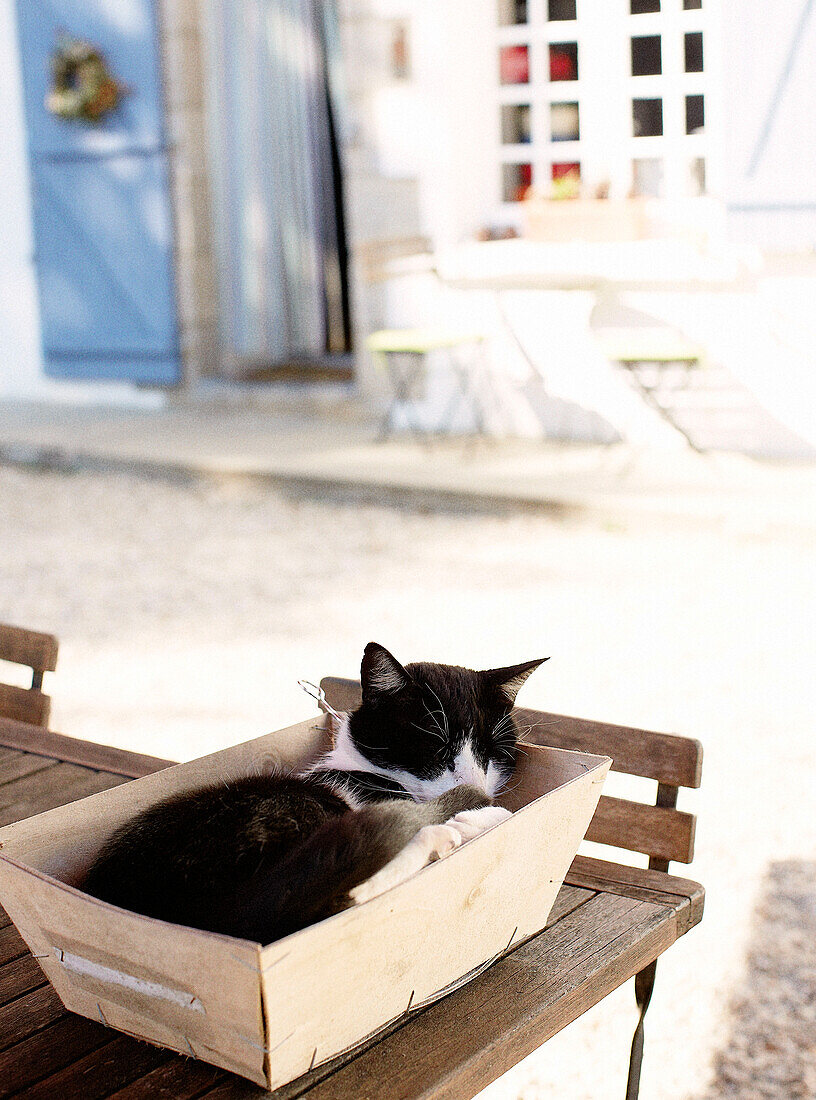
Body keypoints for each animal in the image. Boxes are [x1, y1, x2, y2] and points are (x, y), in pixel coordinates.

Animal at [83, 642, 545, 946]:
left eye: (492, 752)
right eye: (435, 746)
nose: (473, 781)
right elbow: (496, 813)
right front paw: (473, 817)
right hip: (289, 811)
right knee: (339, 896)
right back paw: (441, 836)